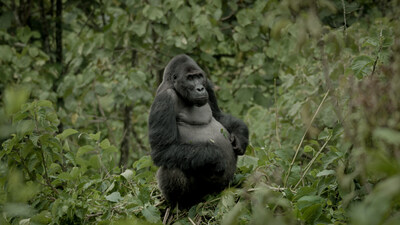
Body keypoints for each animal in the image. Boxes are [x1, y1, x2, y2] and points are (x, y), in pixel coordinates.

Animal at [148, 54, 248, 207]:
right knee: (171, 167)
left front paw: (240, 137)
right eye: (190, 78)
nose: (200, 88)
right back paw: (182, 203)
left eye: (199, 76)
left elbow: (219, 116)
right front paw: (215, 157)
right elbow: (163, 149)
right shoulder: (164, 99)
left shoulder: (208, 85)